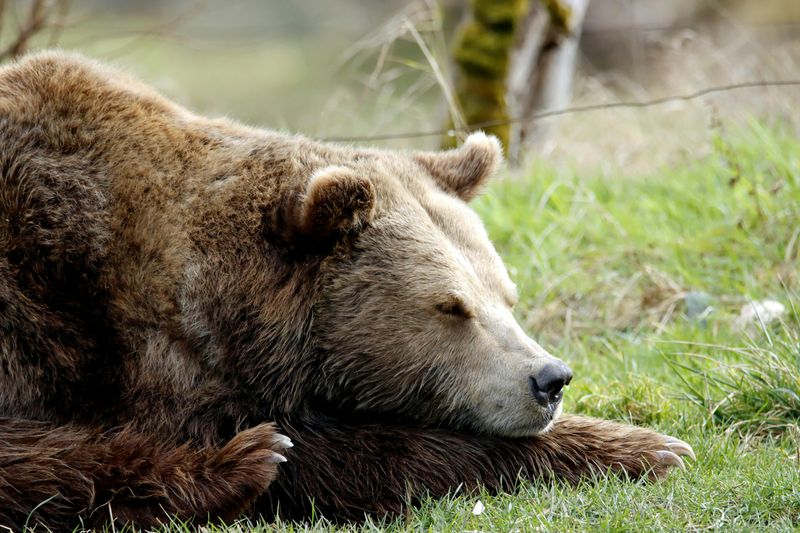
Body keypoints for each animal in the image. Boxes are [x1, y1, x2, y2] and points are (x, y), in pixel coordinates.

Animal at [0, 51, 694, 530]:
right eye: (450, 306)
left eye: (506, 295)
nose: (549, 379)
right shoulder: (106, 339)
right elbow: (349, 450)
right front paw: (651, 447)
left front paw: (649, 442)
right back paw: (242, 462)